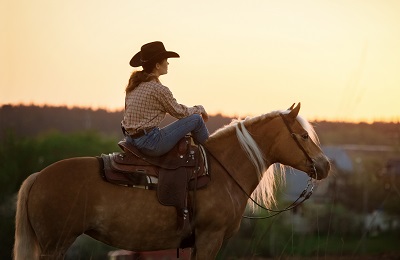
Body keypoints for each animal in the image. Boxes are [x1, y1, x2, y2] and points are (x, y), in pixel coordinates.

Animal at [14, 103, 330, 260]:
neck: (222, 171)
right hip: (55, 243)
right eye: (303, 136)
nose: (325, 165)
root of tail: (38, 177)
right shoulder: (210, 238)